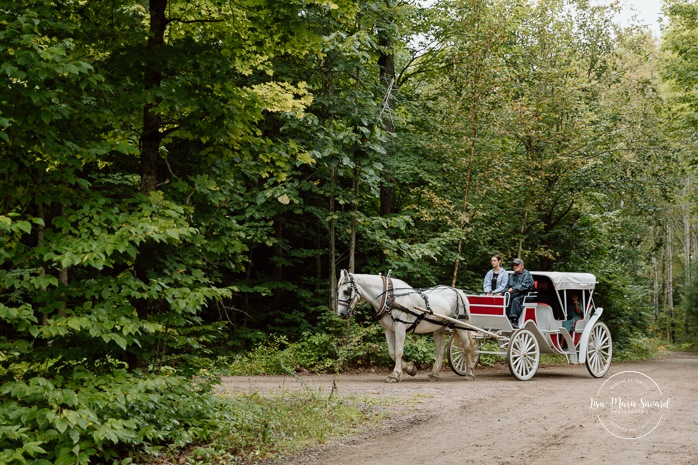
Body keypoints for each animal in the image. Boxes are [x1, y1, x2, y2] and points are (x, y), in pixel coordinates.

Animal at [334, 270, 476, 382]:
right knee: (440, 349)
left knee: (467, 347)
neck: (389, 297)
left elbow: (398, 351)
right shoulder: (388, 330)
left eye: (346, 291)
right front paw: (410, 368)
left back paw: (469, 372)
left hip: (460, 325)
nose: (340, 313)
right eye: (338, 291)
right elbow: (391, 352)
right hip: (438, 328)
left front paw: (395, 375)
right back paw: (434, 374)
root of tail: (459, 291)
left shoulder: (400, 328)